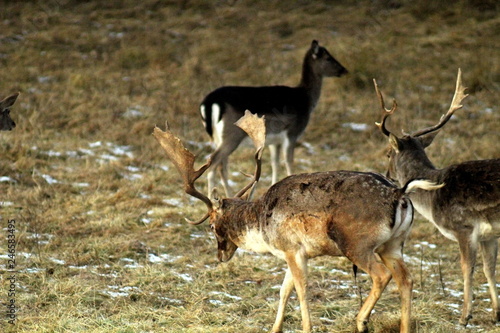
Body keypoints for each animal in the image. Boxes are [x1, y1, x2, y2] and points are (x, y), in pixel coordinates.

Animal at [152, 110, 442, 330]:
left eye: (211, 226)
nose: (220, 256)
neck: (262, 227)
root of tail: (399, 193)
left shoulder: (293, 248)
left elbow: (300, 288)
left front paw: (306, 326)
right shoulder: (290, 252)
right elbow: (284, 289)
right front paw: (275, 328)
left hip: (356, 242)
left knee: (382, 275)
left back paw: (361, 320)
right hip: (393, 244)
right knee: (406, 279)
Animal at [199, 39, 348, 195]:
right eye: (328, 58)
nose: (344, 70)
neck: (305, 99)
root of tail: (209, 103)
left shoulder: (274, 141)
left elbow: (274, 164)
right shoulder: (292, 132)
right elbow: (288, 161)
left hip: (217, 138)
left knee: (221, 166)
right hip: (232, 135)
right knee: (213, 162)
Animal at [376, 68, 500, 326]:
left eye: (388, 153)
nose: (387, 175)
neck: (433, 200)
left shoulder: (464, 227)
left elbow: (467, 268)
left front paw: (464, 317)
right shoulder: (489, 235)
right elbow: (489, 269)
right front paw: (496, 313)